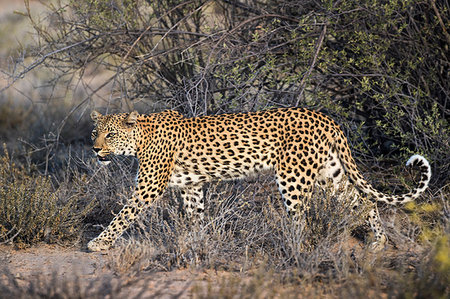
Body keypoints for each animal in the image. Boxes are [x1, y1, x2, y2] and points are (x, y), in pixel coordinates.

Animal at [89, 108, 432, 253]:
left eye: (111, 134)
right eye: (96, 132)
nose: (94, 148)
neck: (139, 139)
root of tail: (326, 117)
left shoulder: (149, 187)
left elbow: (123, 215)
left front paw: (100, 243)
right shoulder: (191, 186)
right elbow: (195, 217)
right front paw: (195, 242)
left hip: (293, 176)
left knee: (301, 218)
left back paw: (293, 248)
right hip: (330, 173)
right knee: (363, 200)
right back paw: (379, 241)